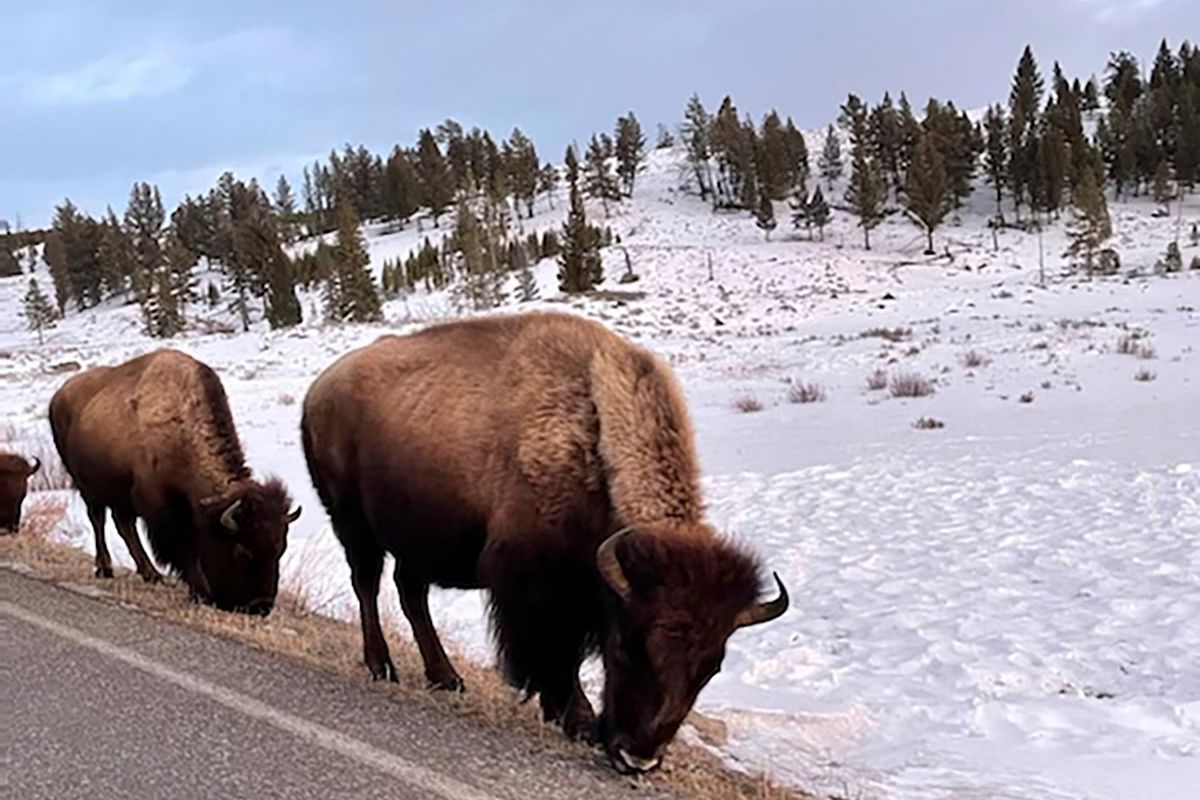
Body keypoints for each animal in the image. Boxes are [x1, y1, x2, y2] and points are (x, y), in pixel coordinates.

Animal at [49, 349, 301, 615]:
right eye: (242, 550)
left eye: (280, 548)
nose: (260, 607)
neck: (182, 430)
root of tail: (57, 397)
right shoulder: (162, 508)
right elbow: (183, 549)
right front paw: (200, 592)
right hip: (87, 487)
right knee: (98, 520)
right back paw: (105, 569)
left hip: (118, 493)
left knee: (123, 525)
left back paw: (151, 574)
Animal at [301, 311, 788, 774]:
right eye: (626, 644)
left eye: (711, 666)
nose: (638, 759)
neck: (592, 440)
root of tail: (318, 390)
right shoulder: (536, 588)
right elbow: (556, 655)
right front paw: (577, 718)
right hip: (353, 524)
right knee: (368, 585)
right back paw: (382, 667)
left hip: (415, 538)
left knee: (410, 594)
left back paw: (446, 678)